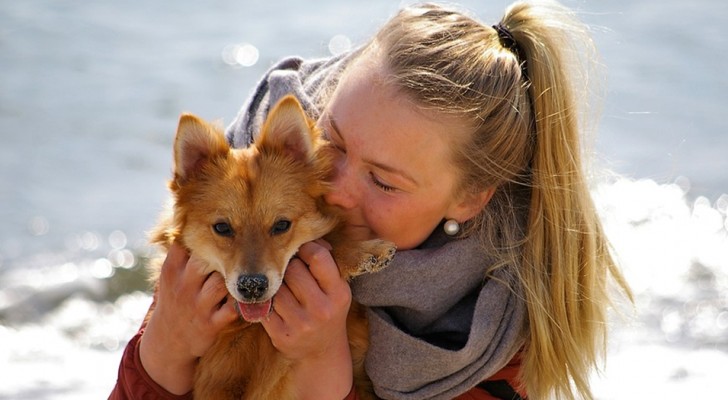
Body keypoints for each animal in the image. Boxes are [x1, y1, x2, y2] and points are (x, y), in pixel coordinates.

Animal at [149, 95, 396, 398]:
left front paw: (364, 252)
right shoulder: (218, 379)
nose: (252, 286)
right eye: (222, 228)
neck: (251, 327)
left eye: (281, 225)